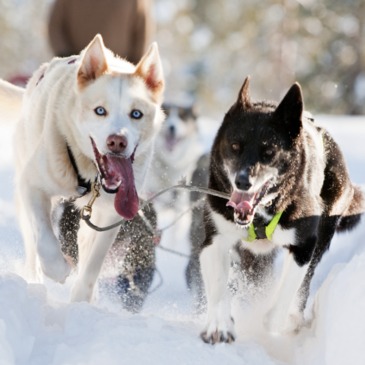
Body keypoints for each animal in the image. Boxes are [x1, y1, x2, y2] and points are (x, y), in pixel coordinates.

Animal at [1, 34, 164, 302]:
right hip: (24, 196)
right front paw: (58, 269)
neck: (92, 177)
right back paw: (35, 279)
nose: (117, 141)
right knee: (32, 241)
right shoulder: (32, 185)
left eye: (136, 114)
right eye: (100, 110)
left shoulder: (111, 215)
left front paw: (81, 299)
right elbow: (44, 239)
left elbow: (93, 263)